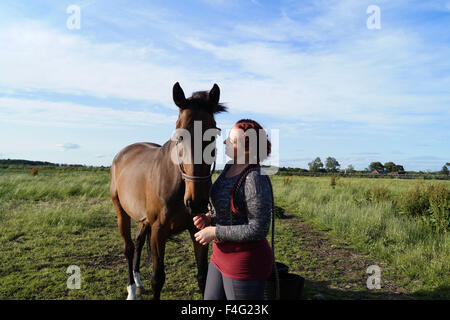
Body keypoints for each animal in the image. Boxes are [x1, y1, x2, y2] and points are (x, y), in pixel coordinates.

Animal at [110, 82, 227, 300]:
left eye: (213, 135)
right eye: (180, 136)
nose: (197, 202)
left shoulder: (197, 229)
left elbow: (202, 277)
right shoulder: (158, 232)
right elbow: (158, 279)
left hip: (144, 219)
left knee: (138, 241)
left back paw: (138, 282)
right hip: (121, 211)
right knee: (128, 248)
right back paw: (132, 290)